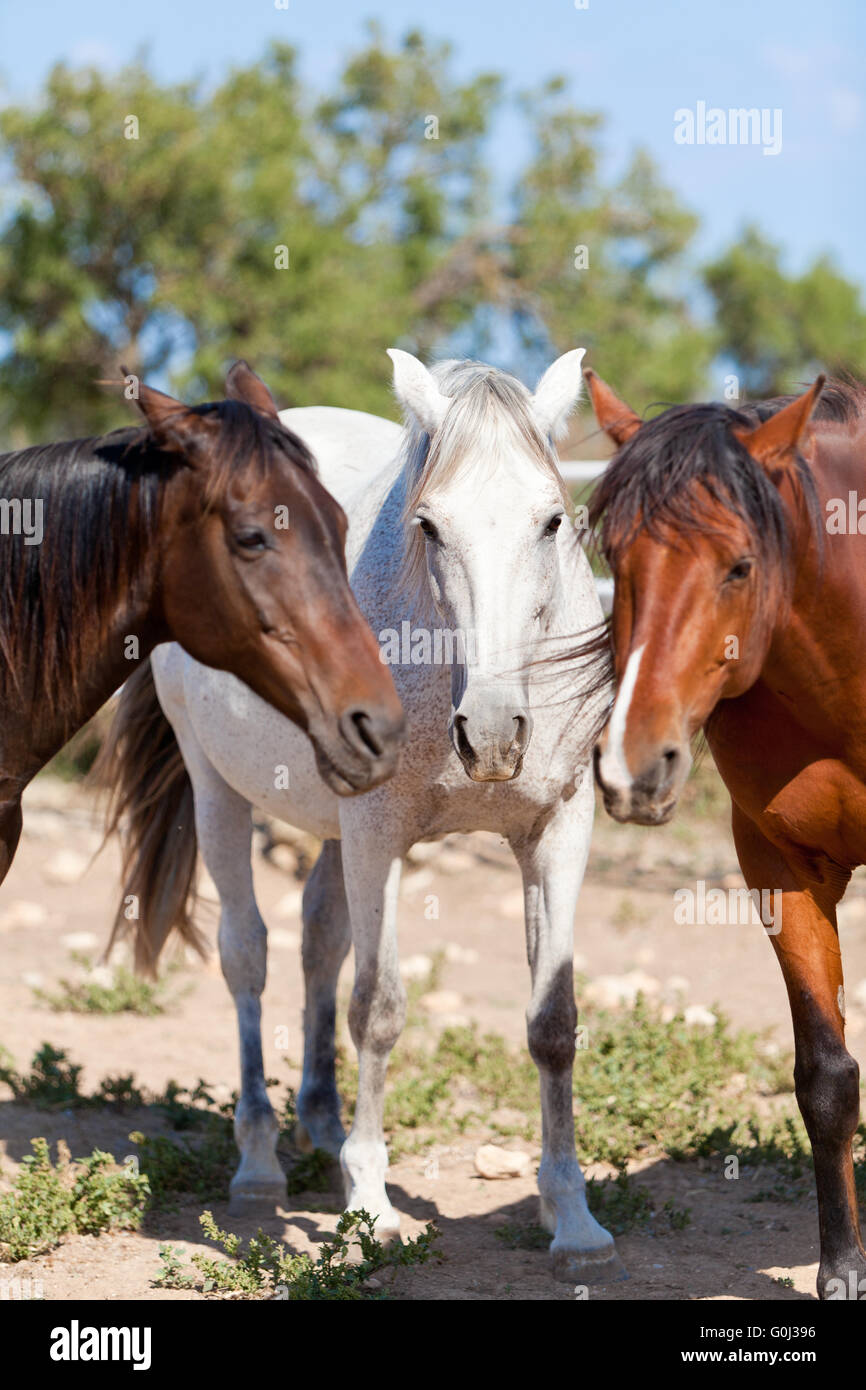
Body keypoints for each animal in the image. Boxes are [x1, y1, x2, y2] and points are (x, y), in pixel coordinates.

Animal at [100, 347, 617, 1278]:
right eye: (429, 527)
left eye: (553, 520)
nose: (492, 732)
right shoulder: (380, 835)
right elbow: (377, 1011)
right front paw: (371, 1210)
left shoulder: (557, 831)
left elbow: (553, 1021)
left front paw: (574, 1219)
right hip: (218, 792)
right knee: (248, 956)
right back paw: (261, 1162)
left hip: (333, 832)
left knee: (317, 943)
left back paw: (323, 1126)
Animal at [586, 369, 866, 1301]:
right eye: (613, 558)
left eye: (741, 565)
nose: (633, 767)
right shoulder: (782, 867)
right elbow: (826, 1079)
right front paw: (843, 1267)